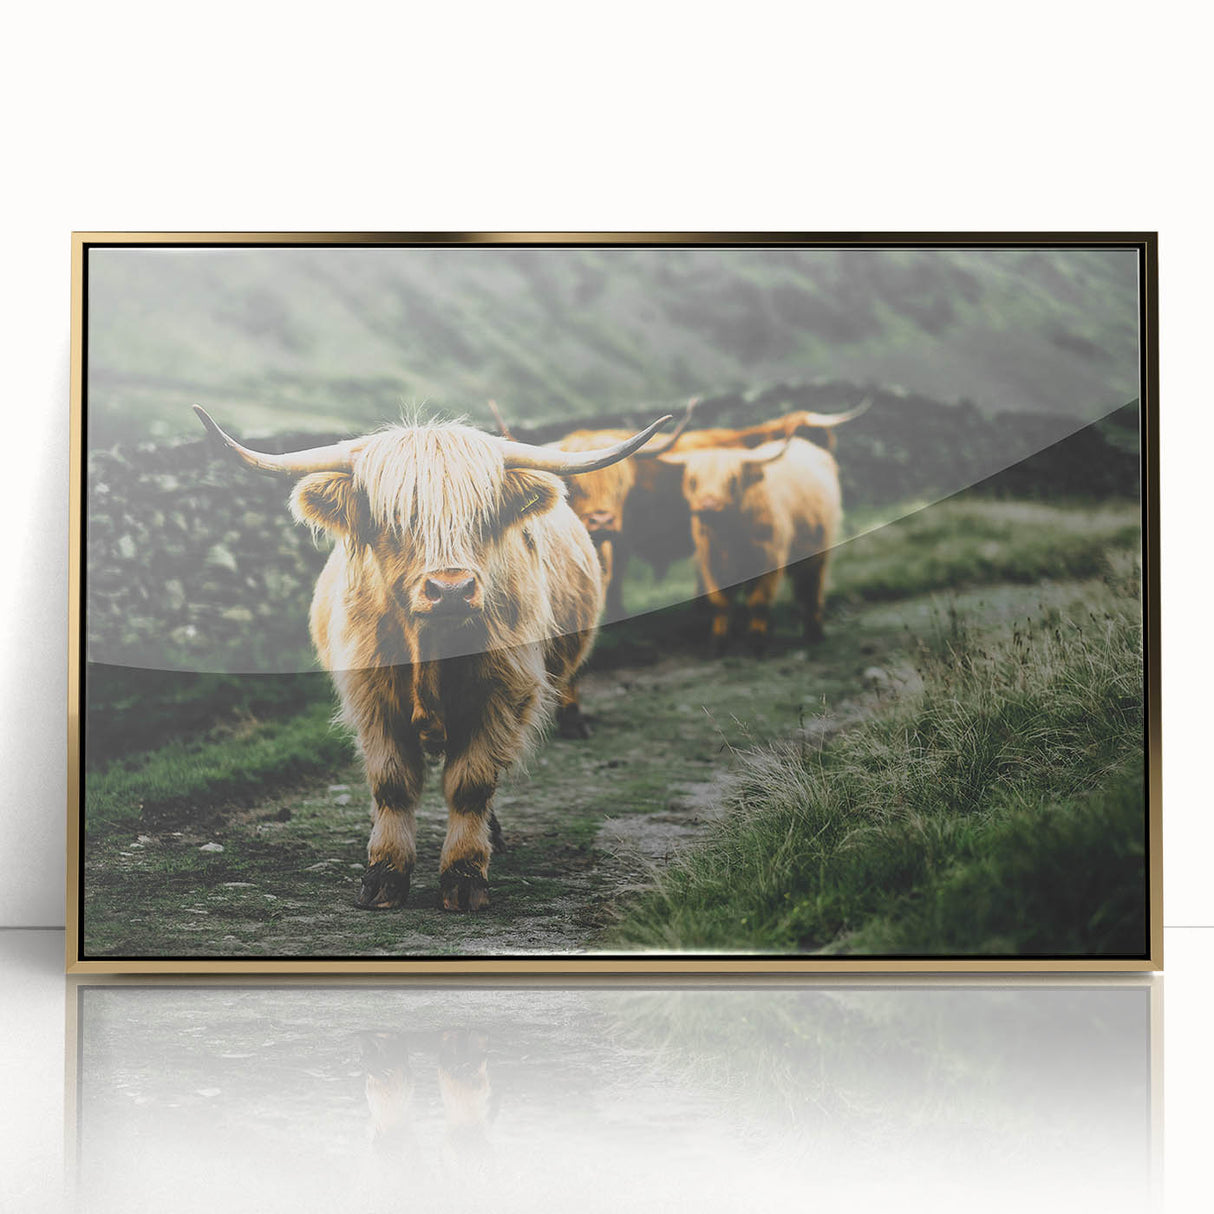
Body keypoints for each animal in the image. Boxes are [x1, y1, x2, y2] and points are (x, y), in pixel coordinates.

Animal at [193, 407, 669, 911]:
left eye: (483, 516)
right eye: (395, 518)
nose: (451, 590)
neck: (431, 651)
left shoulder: (503, 695)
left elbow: (471, 783)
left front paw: (464, 876)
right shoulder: (371, 699)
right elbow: (392, 783)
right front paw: (383, 874)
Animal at [656, 435, 843, 654]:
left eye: (732, 480)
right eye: (693, 481)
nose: (708, 506)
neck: (730, 535)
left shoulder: (769, 557)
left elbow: (758, 601)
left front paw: (756, 643)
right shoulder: (711, 561)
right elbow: (721, 602)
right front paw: (718, 644)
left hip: (818, 550)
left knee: (811, 589)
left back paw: (815, 633)